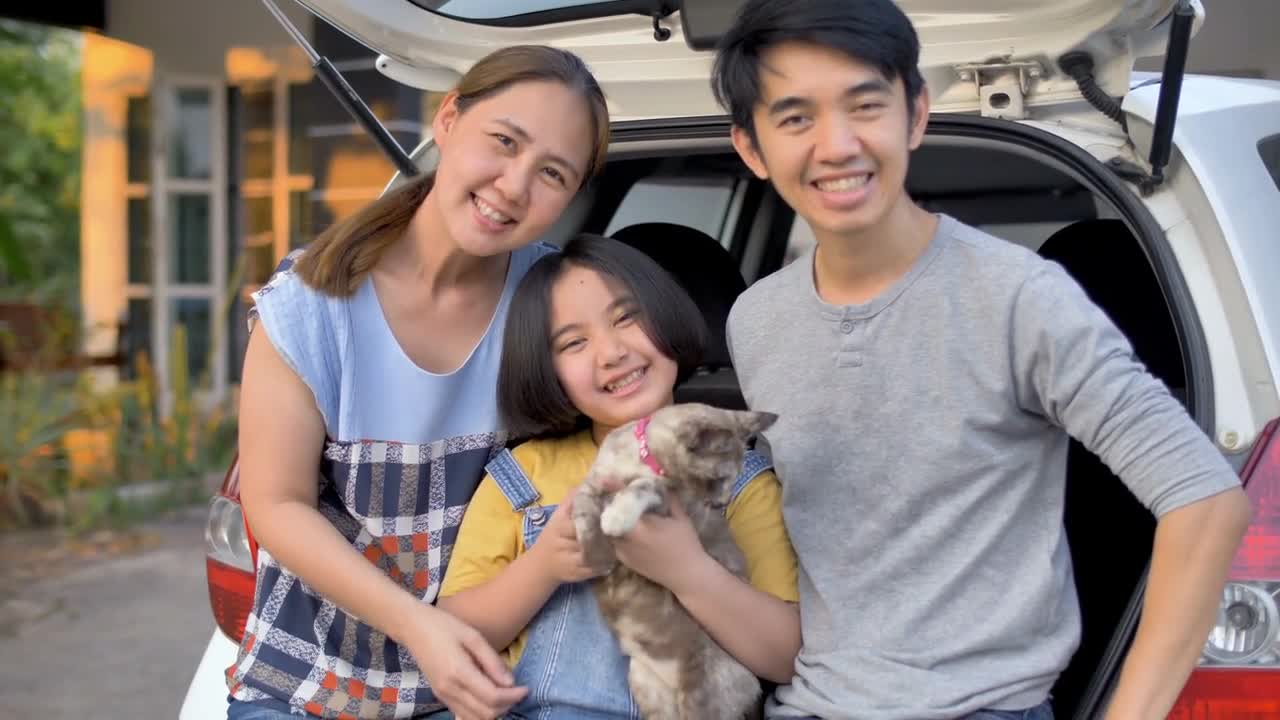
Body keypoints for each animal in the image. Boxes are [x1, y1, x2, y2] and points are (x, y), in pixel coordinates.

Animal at [573, 399, 773, 712]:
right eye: (719, 479)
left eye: (731, 479)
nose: (722, 502)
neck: (640, 459)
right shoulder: (593, 484)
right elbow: (583, 513)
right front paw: (598, 558)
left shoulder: (669, 503)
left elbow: (642, 487)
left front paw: (616, 518)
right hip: (644, 684)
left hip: (700, 691)